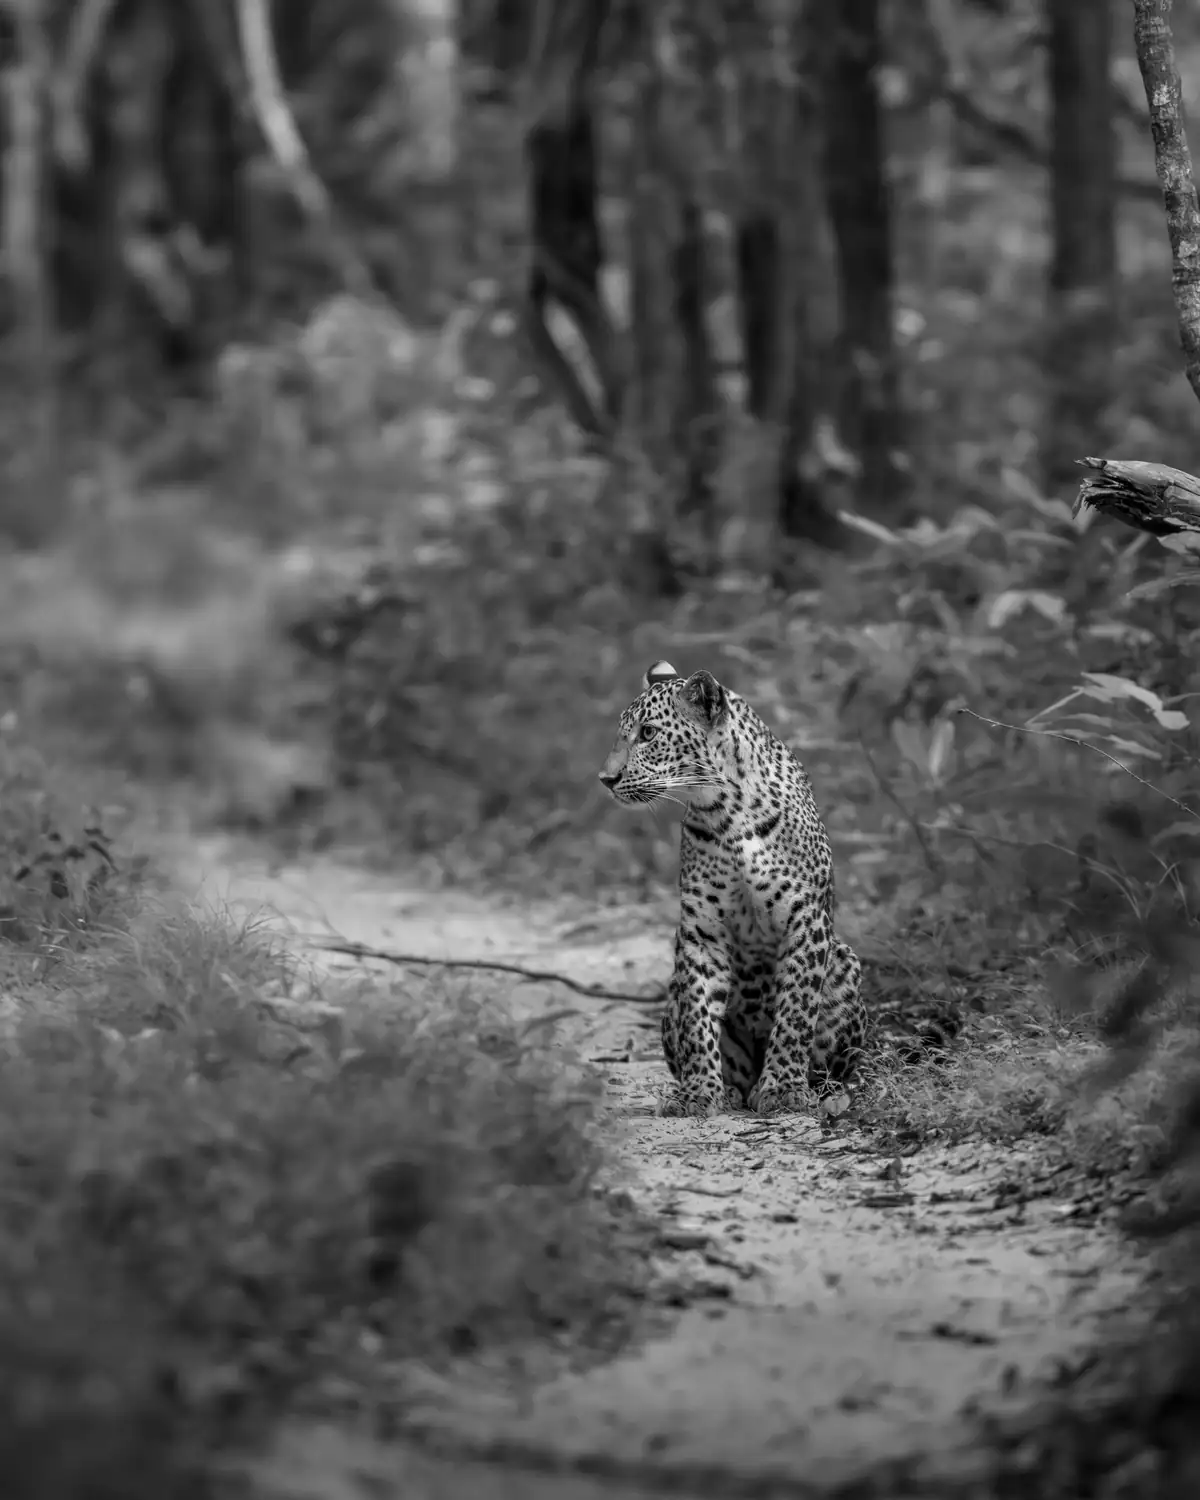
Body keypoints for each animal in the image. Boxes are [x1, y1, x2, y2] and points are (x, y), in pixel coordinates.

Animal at [599, 660, 867, 1118]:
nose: (606, 778)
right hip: (673, 994)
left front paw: (784, 1089)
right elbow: (698, 1016)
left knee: (831, 1064)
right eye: (622, 732)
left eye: (648, 733)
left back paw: (823, 1092)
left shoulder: (806, 918)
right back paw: (727, 1090)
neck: (724, 812)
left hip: (844, 964)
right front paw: (698, 1092)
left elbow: (796, 1010)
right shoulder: (702, 930)